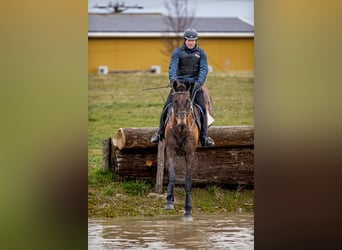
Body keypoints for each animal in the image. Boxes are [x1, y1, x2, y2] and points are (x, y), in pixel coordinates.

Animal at [164, 80, 207, 221]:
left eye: (188, 101)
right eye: (174, 101)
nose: (181, 124)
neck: (181, 131)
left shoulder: (190, 154)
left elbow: (188, 181)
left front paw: (188, 211)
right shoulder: (170, 150)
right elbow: (172, 175)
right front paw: (169, 201)